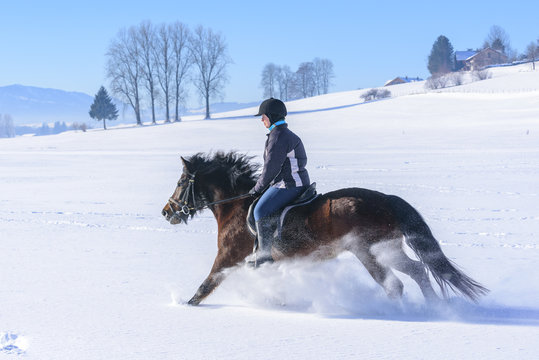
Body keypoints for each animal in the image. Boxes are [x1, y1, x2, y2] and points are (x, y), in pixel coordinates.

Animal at [161, 150, 490, 306]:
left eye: (181, 182)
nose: (167, 212)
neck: (236, 204)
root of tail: (386, 199)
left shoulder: (228, 257)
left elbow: (206, 285)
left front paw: (184, 305)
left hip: (367, 251)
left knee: (394, 285)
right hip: (389, 249)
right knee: (419, 271)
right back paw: (434, 309)